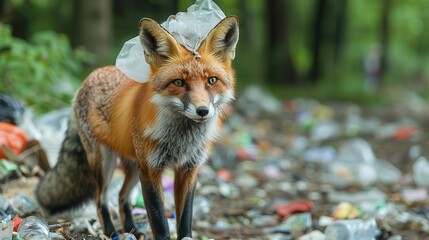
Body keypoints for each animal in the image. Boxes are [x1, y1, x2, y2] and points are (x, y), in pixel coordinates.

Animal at [36, 15, 237, 239]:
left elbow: (185, 219)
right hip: (105, 164)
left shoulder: (189, 169)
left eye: (212, 80)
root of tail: (89, 78)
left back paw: (130, 229)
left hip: (133, 166)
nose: (202, 110)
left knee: (122, 196)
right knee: (100, 200)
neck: (181, 140)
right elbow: (159, 219)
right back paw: (111, 232)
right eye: (179, 82)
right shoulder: (150, 169)